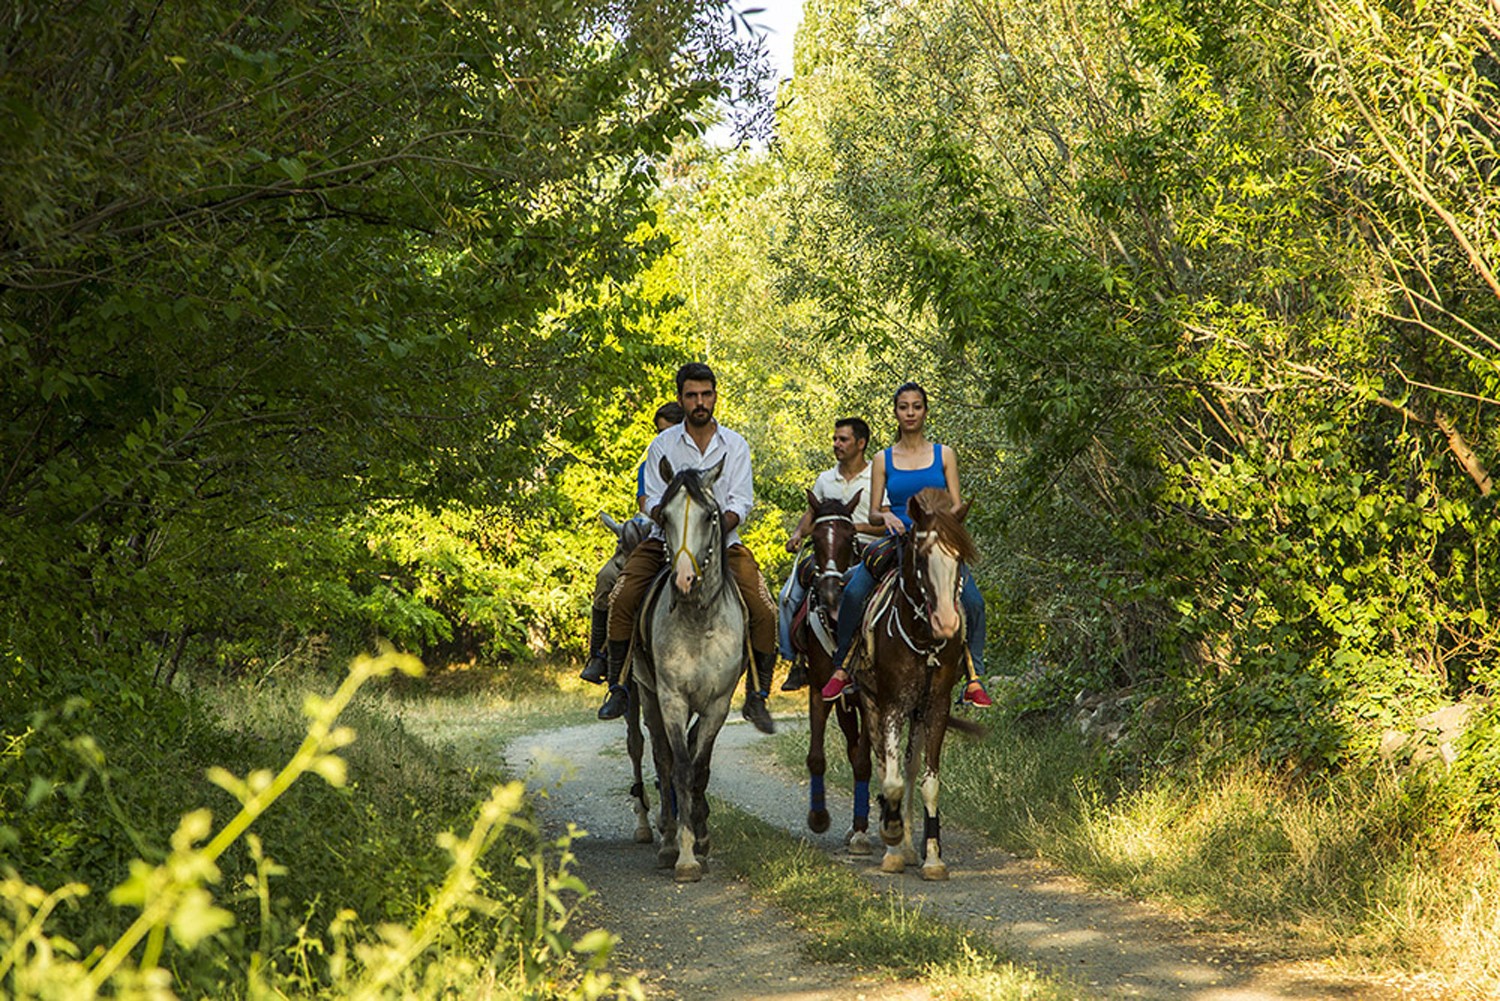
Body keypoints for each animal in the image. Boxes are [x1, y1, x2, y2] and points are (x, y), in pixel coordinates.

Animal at [858, 489, 984, 882]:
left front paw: (932, 858)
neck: (924, 640)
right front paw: (891, 839)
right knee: (885, 765)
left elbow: (928, 782)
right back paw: (894, 839)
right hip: (870, 703)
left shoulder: (936, 706)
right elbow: (891, 780)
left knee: (910, 769)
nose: (947, 622)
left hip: (917, 712)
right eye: (923, 555)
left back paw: (911, 846)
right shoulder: (891, 704)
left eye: (959, 558)